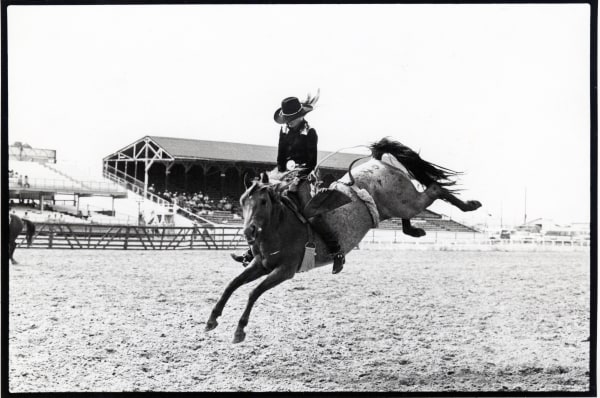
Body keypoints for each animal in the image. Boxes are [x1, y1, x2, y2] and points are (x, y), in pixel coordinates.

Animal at [206, 137, 482, 342]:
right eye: (242, 201)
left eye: (263, 201)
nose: (249, 232)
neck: (281, 224)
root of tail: (379, 162)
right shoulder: (260, 265)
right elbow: (232, 284)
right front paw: (212, 319)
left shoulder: (285, 270)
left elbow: (253, 292)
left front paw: (239, 330)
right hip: (397, 206)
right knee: (415, 208)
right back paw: (417, 231)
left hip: (406, 201)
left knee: (435, 189)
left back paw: (470, 205)